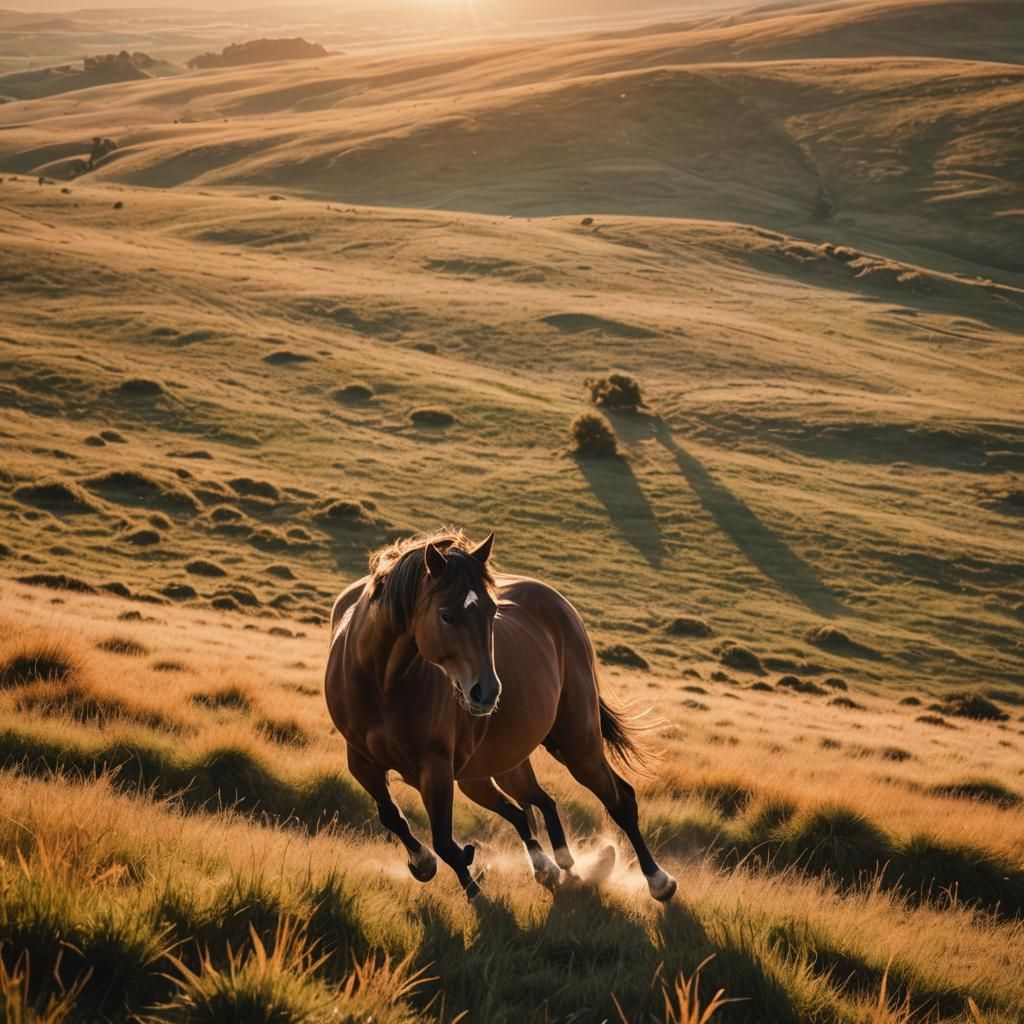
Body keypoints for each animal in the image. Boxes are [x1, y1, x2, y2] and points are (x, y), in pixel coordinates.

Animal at [324, 528, 676, 902]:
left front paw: (472, 887)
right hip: (495, 767)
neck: (381, 686)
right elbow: (393, 817)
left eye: (493, 612)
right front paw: (424, 863)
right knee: (535, 803)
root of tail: (559, 604)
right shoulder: (362, 762)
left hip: (576, 745)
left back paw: (658, 881)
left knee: (618, 798)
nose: (488, 692)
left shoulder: (435, 770)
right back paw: (558, 865)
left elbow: (445, 842)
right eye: (446, 615)